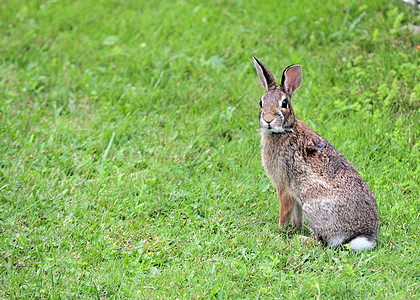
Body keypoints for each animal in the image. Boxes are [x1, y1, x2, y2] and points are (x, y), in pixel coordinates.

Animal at [253, 56, 380, 251]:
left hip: (312, 200)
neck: (285, 131)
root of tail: (361, 235)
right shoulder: (295, 195)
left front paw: (279, 231)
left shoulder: (284, 187)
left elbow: (285, 212)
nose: (267, 120)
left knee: (322, 242)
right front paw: (295, 228)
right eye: (261, 102)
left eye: (284, 103)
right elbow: (296, 215)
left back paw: (301, 240)